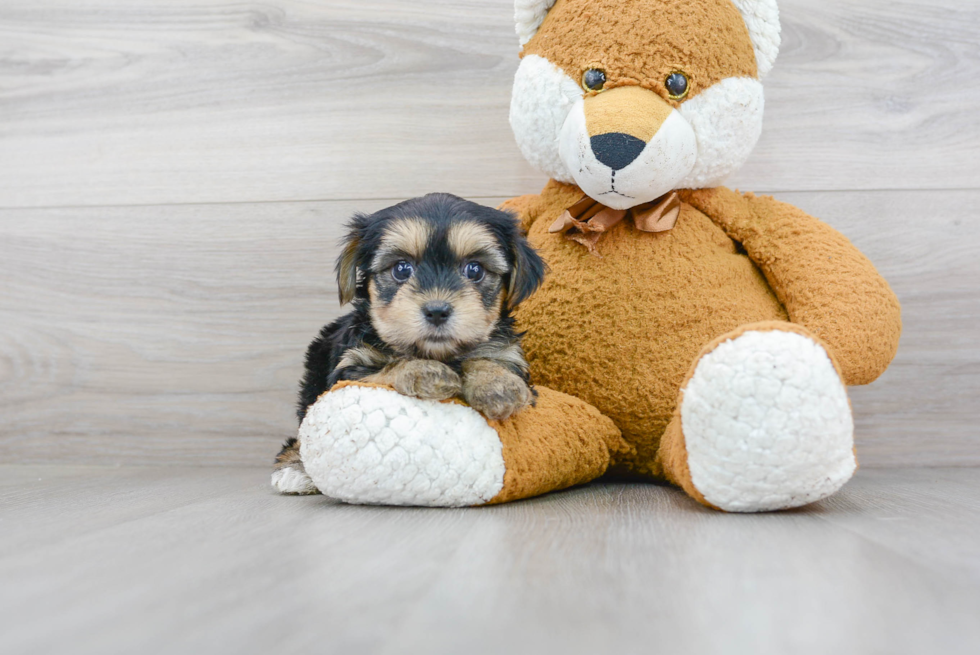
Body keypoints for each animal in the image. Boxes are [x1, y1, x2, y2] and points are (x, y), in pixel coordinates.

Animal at [272, 192, 548, 494]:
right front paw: (423, 371)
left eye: (474, 270)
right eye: (402, 269)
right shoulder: (352, 366)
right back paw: (294, 468)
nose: (437, 310)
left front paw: (497, 384)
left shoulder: (509, 353)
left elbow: (492, 360)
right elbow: (389, 366)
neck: (440, 353)